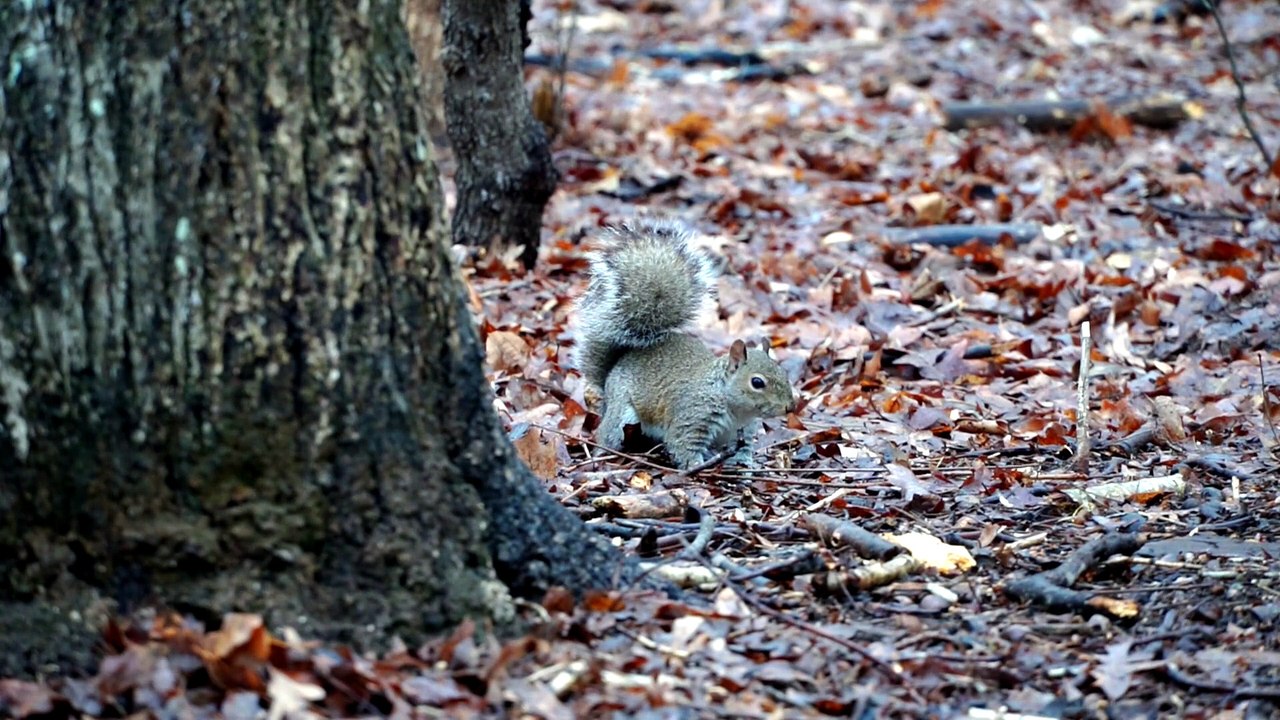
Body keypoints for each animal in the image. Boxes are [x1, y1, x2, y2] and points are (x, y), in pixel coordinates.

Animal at [572, 219, 796, 469]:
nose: (790, 407)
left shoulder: (743, 430)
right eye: (757, 382)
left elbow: (744, 448)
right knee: (607, 433)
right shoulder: (691, 419)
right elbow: (682, 445)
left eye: (784, 372)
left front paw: (747, 464)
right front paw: (697, 465)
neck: (735, 408)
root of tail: (616, 366)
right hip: (621, 411)